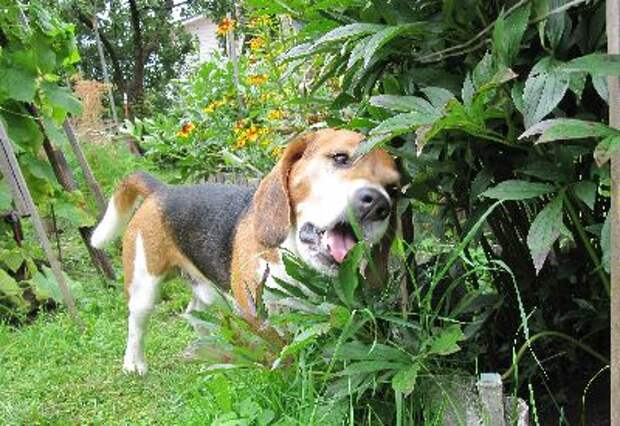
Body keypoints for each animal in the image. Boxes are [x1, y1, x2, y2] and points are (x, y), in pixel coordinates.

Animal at [92, 128, 402, 374]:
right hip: (144, 285)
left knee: (193, 312)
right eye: (340, 158)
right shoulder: (258, 314)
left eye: (394, 189)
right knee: (136, 325)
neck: (292, 258)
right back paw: (134, 363)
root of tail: (162, 190)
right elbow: (281, 352)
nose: (378, 205)